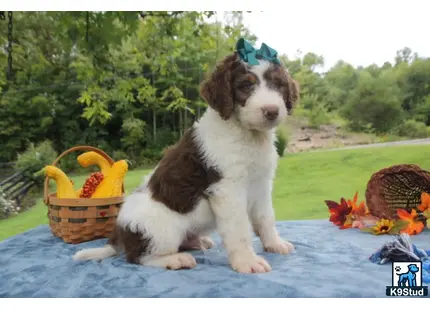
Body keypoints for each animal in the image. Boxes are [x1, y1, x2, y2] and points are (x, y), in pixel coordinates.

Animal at [73, 50, 298, 274]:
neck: (248, 135)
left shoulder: (261, 184)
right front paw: (247, 261)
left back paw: (197, 242)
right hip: (162, 231)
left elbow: (265, 218)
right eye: (245, 86)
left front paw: (275, 244)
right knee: (138, 257)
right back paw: (175, 259)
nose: (272, 111)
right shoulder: (228, 188)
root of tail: (119, 231)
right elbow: (239, 228)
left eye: (279, 85)